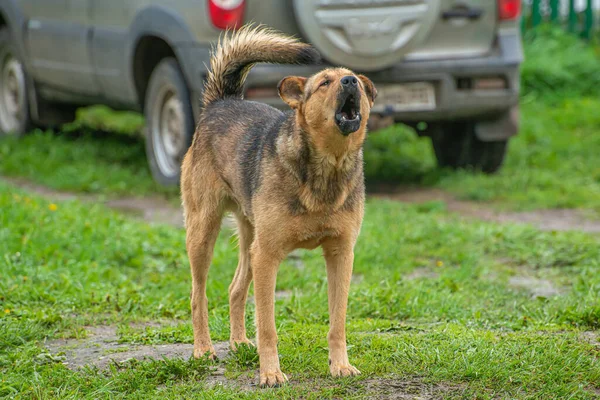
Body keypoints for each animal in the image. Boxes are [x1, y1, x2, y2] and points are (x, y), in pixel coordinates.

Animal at [180, 25, 376, 388]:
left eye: (354, 78)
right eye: (324, 82)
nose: (350, 82)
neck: (326, 166)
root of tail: (222, 101)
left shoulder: (341, 254)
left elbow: (338, 322)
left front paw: (340, 366)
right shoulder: (268, 256)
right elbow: (268, 326)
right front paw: (270, 373)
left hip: (250, 241)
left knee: (235, 289)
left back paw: (240, 342)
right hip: (203, 233)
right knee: (198, 295)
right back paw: (203, 349)